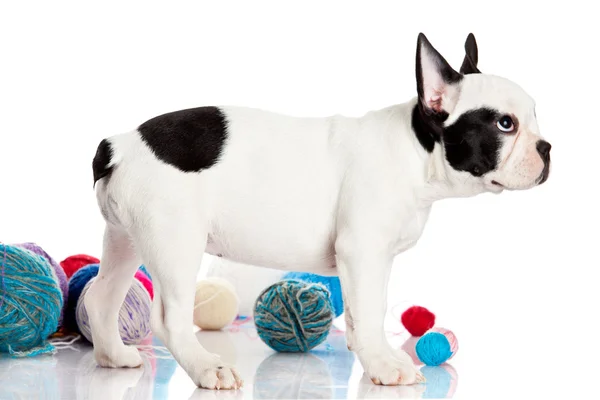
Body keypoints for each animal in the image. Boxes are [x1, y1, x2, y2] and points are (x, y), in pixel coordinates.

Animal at [86, 32, 552, 390]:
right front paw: (384, 366)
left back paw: (113, 356)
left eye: (535, 118)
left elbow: (370, 309)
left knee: (102, 297)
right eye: (505, 125)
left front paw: (375, 355)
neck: (417, 150)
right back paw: (207, 368)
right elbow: (370, 311)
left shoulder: (375, 259)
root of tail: (121, 143)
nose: (547, 148)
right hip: (175, 242)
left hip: (127, 238)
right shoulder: (361, 251)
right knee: (170, 319)